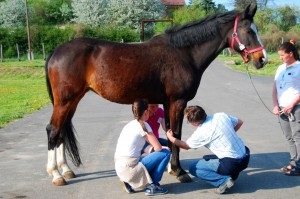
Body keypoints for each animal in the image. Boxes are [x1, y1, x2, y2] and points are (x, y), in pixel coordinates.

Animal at [45, 3, 268, 186]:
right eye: (249, 30)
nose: (262, 59)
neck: (184, 54)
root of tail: (56, 51)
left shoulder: (168, 103)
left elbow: (170, 133)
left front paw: (171, 168)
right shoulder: (178, 102)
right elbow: (176, 133)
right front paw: (180, 172)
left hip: (72, 101)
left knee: (61, 131)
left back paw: (66, 170)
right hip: (65, 101)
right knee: (53, 130)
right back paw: (56, 175)